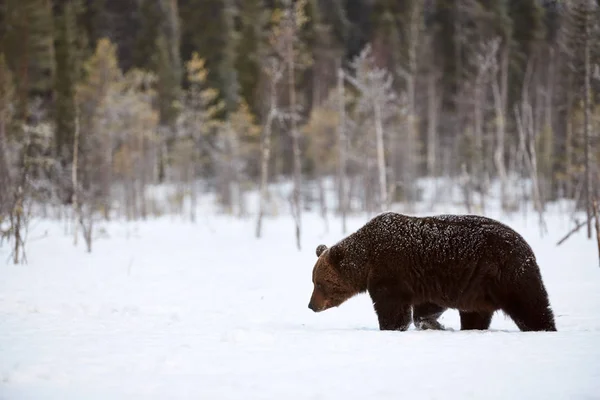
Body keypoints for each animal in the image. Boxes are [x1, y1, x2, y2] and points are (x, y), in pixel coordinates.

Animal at [310, 212, 556, 332]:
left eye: (319, 283)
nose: (311, 305)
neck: (367, 261)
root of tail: (526, 245)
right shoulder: (430, 281)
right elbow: (426, 307)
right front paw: (433, 323)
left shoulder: (390, 272)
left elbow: (392, 309)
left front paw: (393, 327)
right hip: (478, 288)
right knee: (476, 314)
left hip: (506, 274)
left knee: (531, 306)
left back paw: (544, 328)